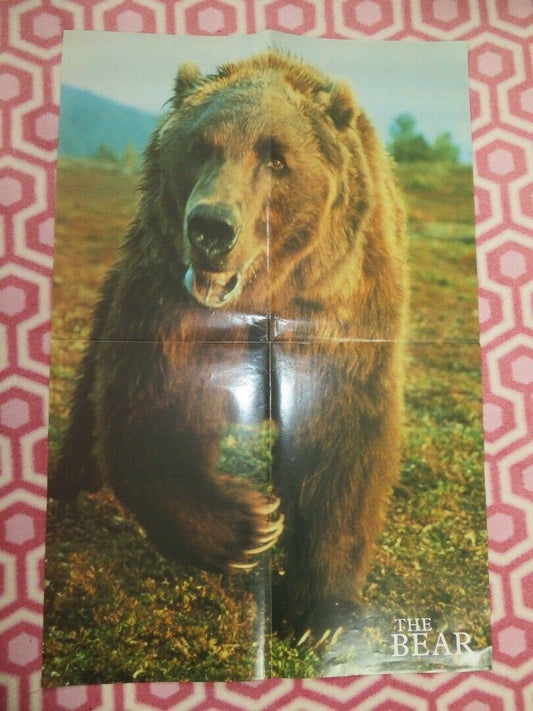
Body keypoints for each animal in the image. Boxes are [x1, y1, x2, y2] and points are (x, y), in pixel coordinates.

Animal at [49, 50, 408, 638]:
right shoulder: (168, 303)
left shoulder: (342, 310)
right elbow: (150, 404)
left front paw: (321, 614)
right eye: (200, 146)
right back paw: (69, 483)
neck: (265, 298)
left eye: (277, 159)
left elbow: (343, 437)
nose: (212, 228)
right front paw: (248, 525)